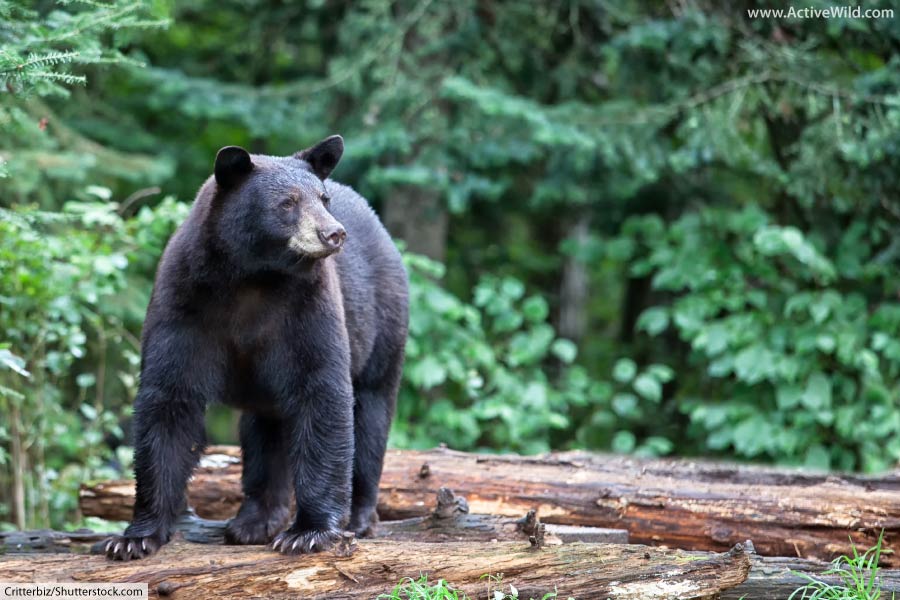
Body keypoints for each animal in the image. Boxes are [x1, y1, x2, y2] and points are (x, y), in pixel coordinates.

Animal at [103, 135, 408, 560]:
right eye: (288, 202)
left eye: (323, 198)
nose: (333, 233)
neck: (253, 277)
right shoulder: (184, 303)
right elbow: (169, 400)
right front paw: (134, 537)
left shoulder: (307, 308)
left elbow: (322, 392)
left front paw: (309, 532)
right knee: (265, 432)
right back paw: (254, 521)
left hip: (382, 323)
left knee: (371, 413)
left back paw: (360, 517)